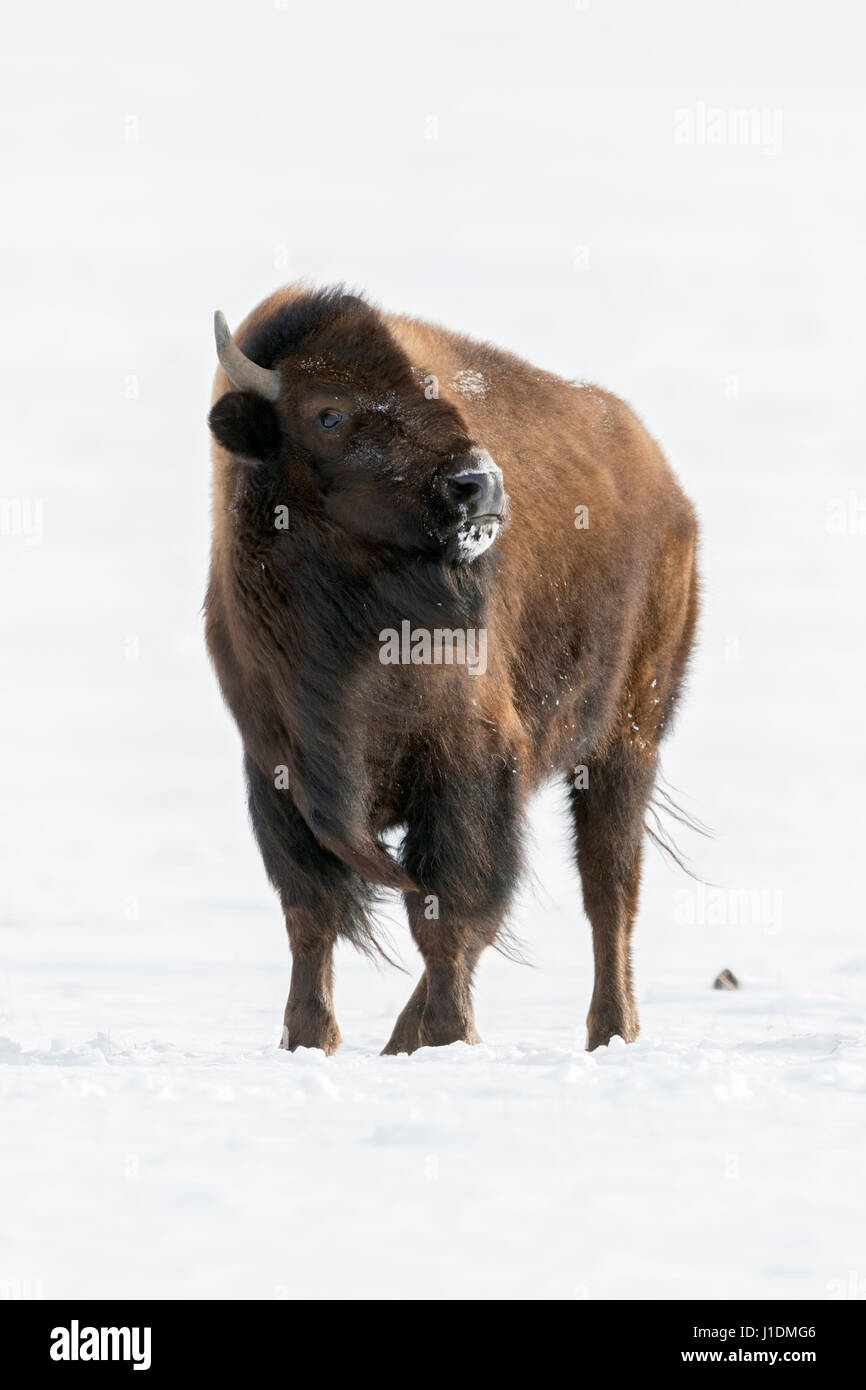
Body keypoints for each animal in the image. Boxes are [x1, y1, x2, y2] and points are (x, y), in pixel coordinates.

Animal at [202, 287, 697, 1056]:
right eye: (329, 412)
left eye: (435, 391)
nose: (477, 487)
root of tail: (666, 487)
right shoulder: (279, 773)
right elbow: (311, 914)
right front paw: (307, 1040)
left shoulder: (467, 764)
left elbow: (450, 912)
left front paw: (447, 1038)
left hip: (624, 744)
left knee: (608, 890)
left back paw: (610, 1032)